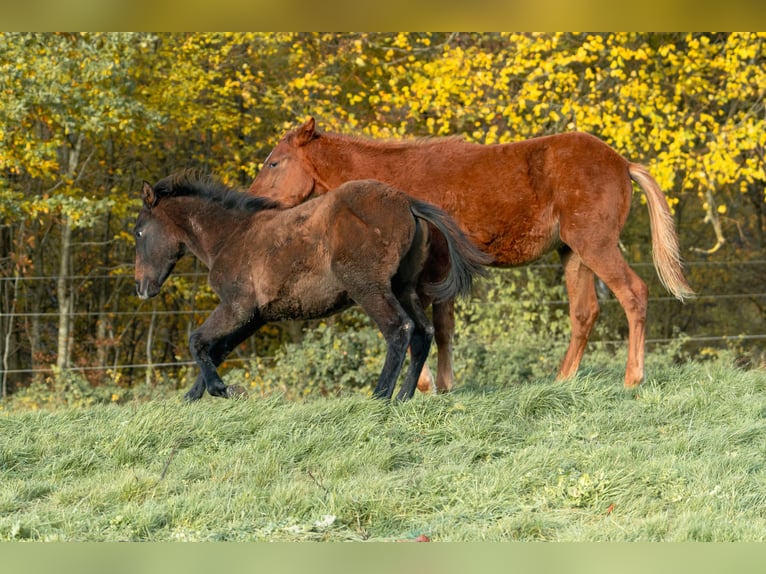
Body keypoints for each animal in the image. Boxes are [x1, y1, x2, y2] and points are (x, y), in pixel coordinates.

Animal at [134, 171, 489, 401]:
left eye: (138, 232)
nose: (141, 287)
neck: (231, 236)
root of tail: (407, 203)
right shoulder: (256, 316)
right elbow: (217, 350)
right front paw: (193, 399)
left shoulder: (237, 307)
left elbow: (197, 341)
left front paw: (222, 390)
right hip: (404, 288)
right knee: (423, 332)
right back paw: (403, 396)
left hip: (368, 288)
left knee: (399, 329)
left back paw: (380, 396)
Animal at [248, 117, 695, 390]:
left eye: (274, 162)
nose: (252, 203)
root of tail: (622, 163)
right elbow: (442, 326)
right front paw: (444, 385)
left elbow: (424, 325)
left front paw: (428, 385)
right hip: (573, 254)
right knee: (585, 312)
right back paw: (562, 381)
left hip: (595, 244)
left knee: (634, 294)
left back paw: (633, 378)